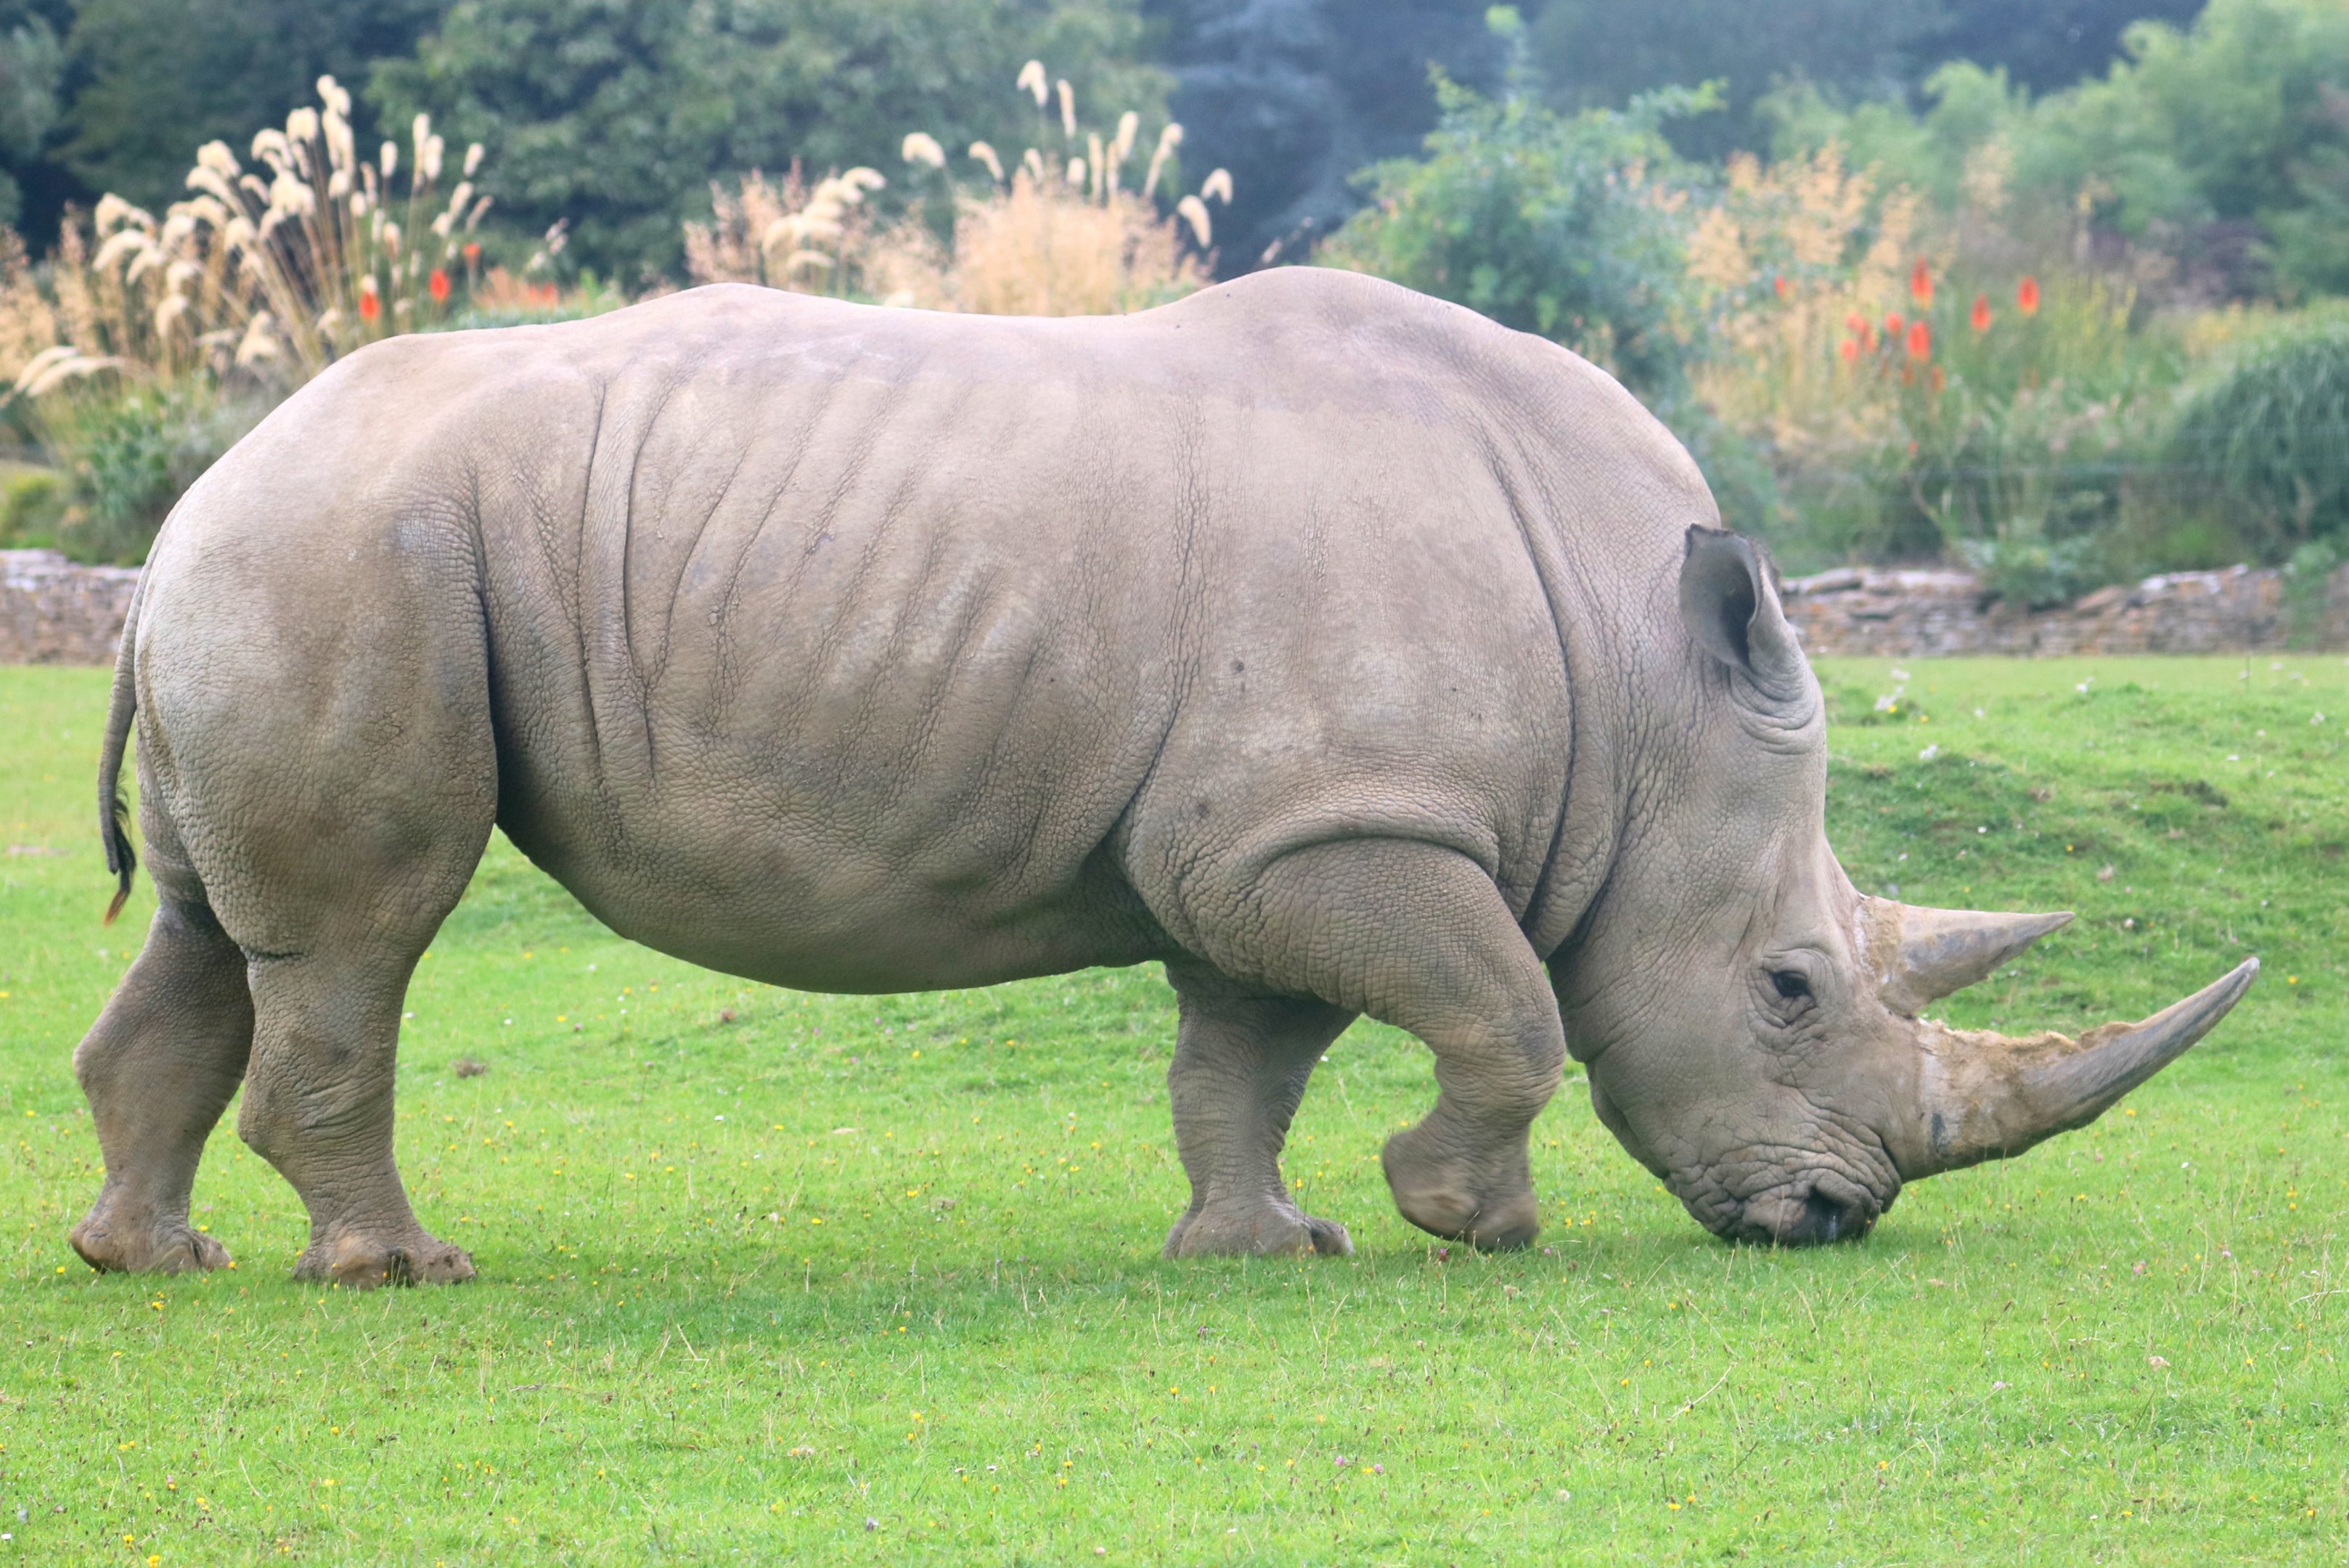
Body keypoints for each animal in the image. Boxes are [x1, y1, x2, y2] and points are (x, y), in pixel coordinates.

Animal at [67, 268, 2256, 1285]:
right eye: (1790, 989)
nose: (1829, 1222)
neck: (1644, 691)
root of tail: (186, 503)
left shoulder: (1267, 841)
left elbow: (1245, 1057)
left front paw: (1270, 1246)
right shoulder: (1330, 823)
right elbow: (1512, 1009)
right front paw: (1469, 1223)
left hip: (286, 562)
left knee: (205, 928)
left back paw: (152, 1259)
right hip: (348, 552)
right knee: (363, 933)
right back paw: (396, 1270)